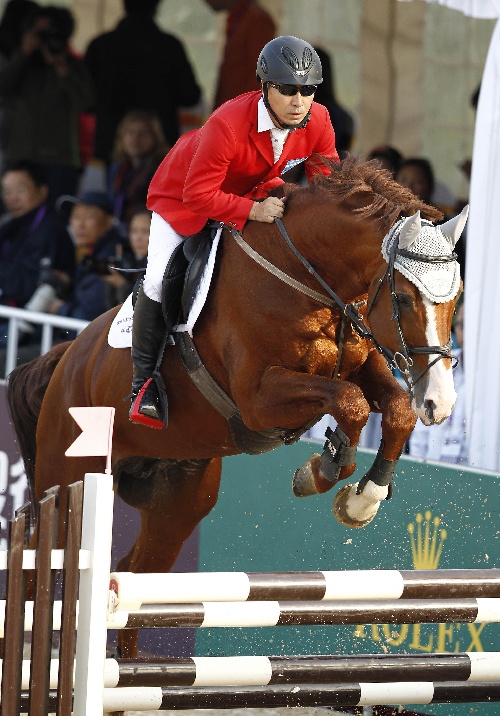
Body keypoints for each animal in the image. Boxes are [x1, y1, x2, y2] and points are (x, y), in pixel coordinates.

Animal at [6, 155, 464, 656]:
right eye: (402, 298)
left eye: (457, 298)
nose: (441, 404)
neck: (308, 277)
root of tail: (67, 359)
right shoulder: (259, 400)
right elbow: (352, 403)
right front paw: (321, 470)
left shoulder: (362, 363)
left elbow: (393, 408)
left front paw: (360, 499)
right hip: (69, 477)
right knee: (39, 569)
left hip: (177, 502)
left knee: (133, 576)